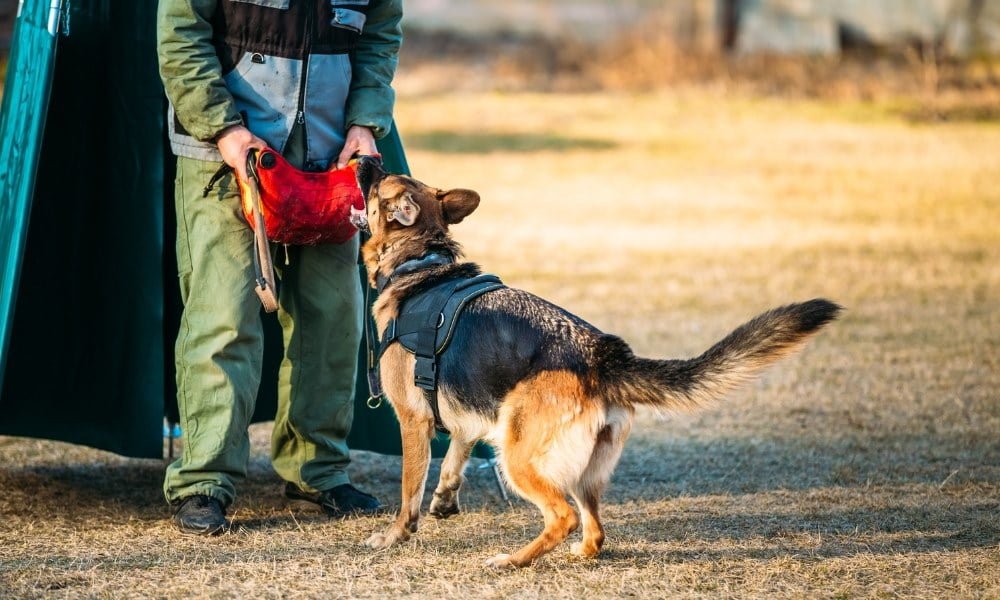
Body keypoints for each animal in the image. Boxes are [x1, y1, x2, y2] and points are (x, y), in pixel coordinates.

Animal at [356, 161, 840, 568]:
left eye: (379, 184)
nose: (366, 158)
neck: (421, 260)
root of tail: (604, 357)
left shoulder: (413, 420)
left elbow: (409, 492)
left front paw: (394, 535)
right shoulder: (467, 411)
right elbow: (454, 456)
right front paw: (444, 499)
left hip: (519, 459)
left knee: (563, 517)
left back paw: (513, 560)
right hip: (580, 471)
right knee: (595, 533)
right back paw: (571, 555)